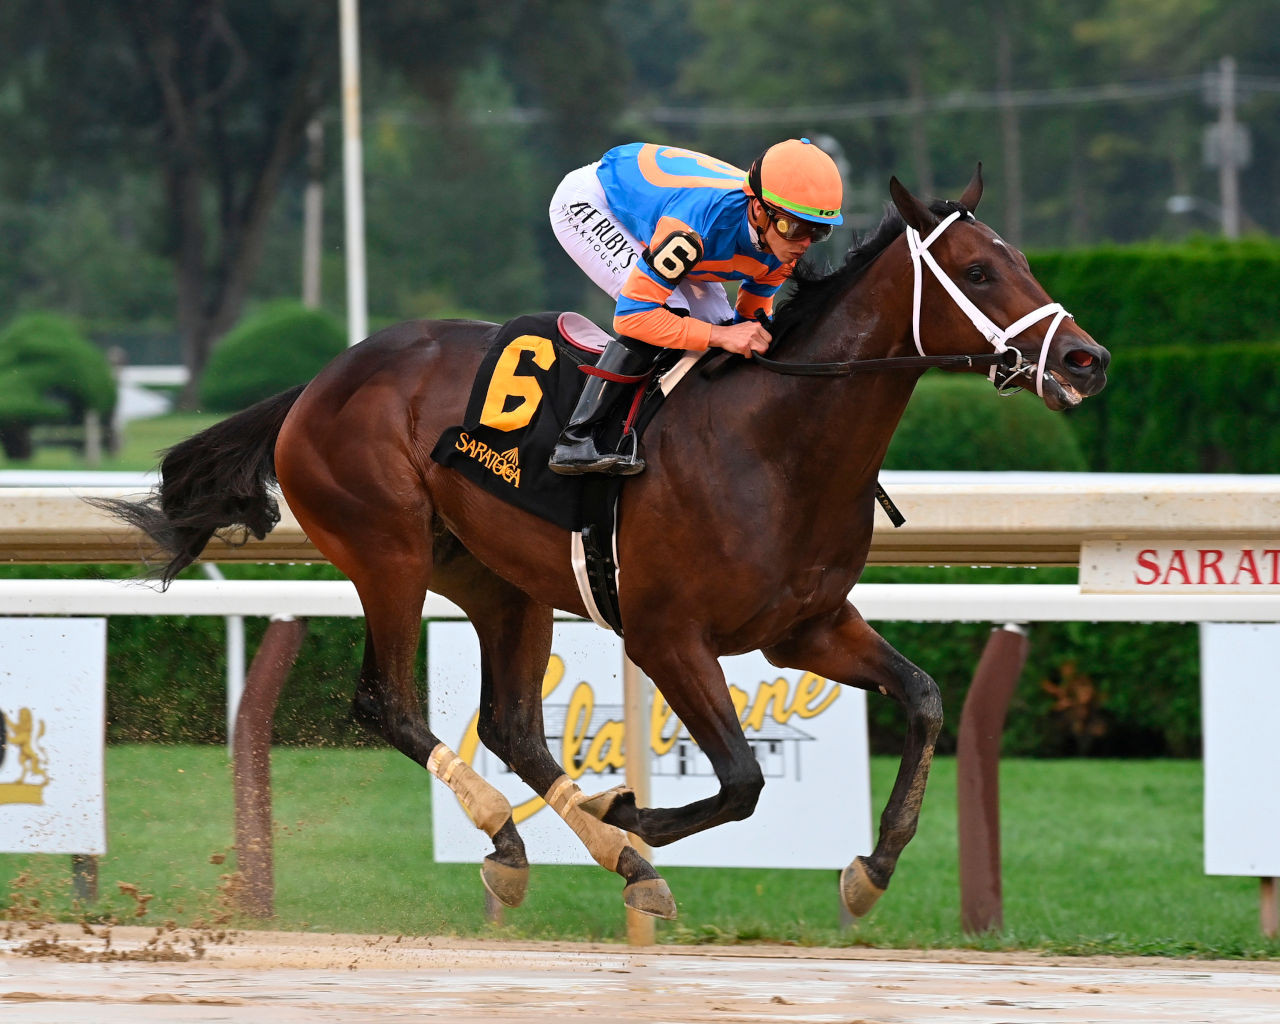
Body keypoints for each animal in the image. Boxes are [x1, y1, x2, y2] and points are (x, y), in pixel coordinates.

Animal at [94, 167, 1105, 921]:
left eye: (1018, 259)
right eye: (977, 270)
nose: (1086, 359)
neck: (778, 442)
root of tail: (318, 380)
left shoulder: (805, 627)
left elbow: (926, 700)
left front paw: (873, 866)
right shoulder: (666, 634)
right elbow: (743, 779)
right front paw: (635, 813)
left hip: (500, 582)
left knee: (509, 722)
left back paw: (590, 853)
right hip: (387, 553)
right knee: (385, 701)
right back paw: (542, 835)